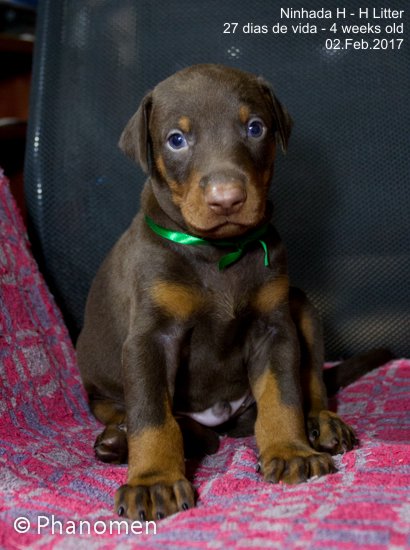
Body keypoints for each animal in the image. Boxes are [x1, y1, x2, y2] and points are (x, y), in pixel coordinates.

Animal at [76, 64, 391, 521]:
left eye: (255, 127)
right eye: (176, 139)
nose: (227, 199)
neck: (218, 252)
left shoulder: (274, 329)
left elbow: (283, 395)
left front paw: (291, 450)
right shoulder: (150, 338)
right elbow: (151, 415)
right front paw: (153, 481)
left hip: (302, 309)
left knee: (311, 382)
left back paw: (321, 422)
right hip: (100, 391)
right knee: (166, 422)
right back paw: (123, 439)